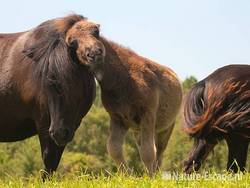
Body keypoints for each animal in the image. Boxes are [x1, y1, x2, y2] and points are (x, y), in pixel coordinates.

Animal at [0, 14, 104, 176]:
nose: (94, 53)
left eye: (96, 32)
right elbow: (49, 159)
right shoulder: (44, 123)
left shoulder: (71, 125)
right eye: (72, 42)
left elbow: (54, 161)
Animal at [84, 37, 182, 176]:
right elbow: (114, 148)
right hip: (138, 130)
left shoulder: (147, 115)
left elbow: (148, 152)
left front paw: (150, 178)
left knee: (159, 151)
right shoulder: (118, 119)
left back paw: (155, 173)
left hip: (166, 128)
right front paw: (128, 175)